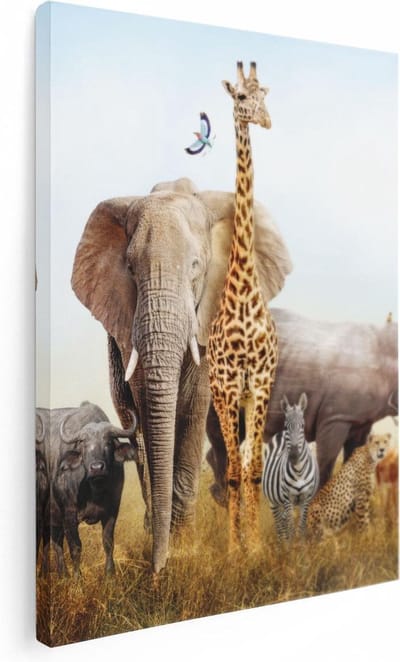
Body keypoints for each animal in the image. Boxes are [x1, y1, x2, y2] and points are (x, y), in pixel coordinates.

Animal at [262, 392, 319, 541]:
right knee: (280, 525)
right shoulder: (287, 498)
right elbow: (291, 527)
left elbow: (302, 526)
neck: (298, 471)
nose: (293, 455)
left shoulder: (306, 497)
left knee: (283, 522)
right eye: (286, 426)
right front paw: (292, 546)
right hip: (273, 501)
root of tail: (279, 435)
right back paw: (282, 544)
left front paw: (301, 545)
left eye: (302, 426)